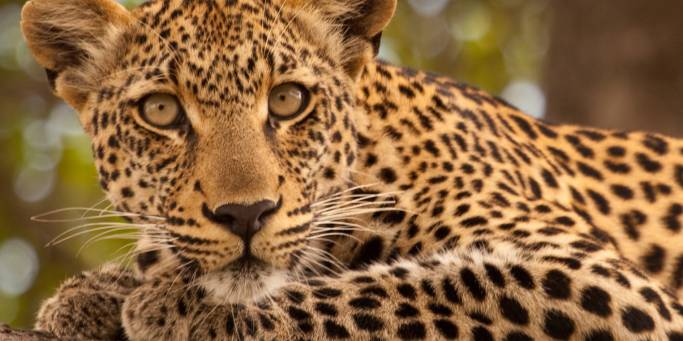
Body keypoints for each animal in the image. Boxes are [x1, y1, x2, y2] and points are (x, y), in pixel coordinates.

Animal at [12, 0, 683, 338]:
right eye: (160, 111)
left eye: (288, 100)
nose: (246, 214)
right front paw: (94, 296)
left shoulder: (602, 280)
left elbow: (418, 284)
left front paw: (185, 307)